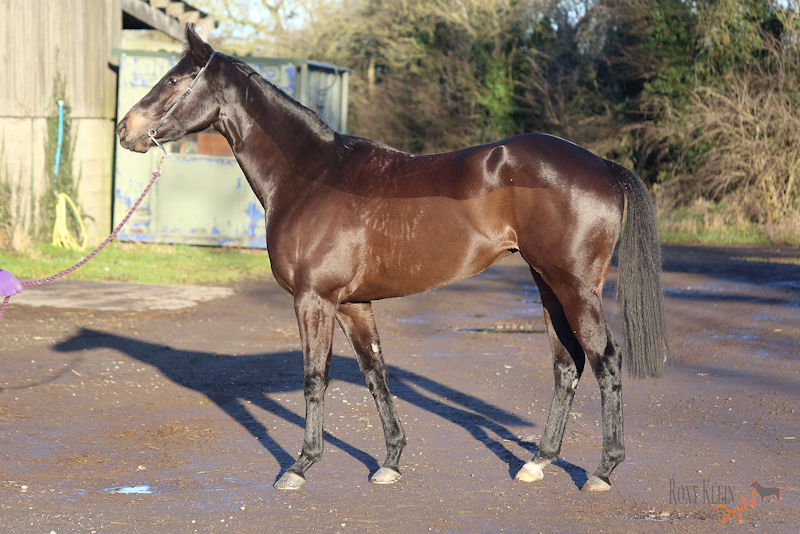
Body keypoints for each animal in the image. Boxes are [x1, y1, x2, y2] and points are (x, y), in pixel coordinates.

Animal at [117, 26, 667, 492]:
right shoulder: (352, 305)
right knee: (567, 364)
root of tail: (603, 165)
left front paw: (300, 465)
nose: (125, 129)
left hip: (575, 287)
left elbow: (314, 379)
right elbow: (374, 375)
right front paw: (391, 461)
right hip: (547, 284)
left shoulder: (314, 300)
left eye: (174, 79)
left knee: (605, 360)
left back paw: (602, 471)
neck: (311, 176)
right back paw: (538, 462)